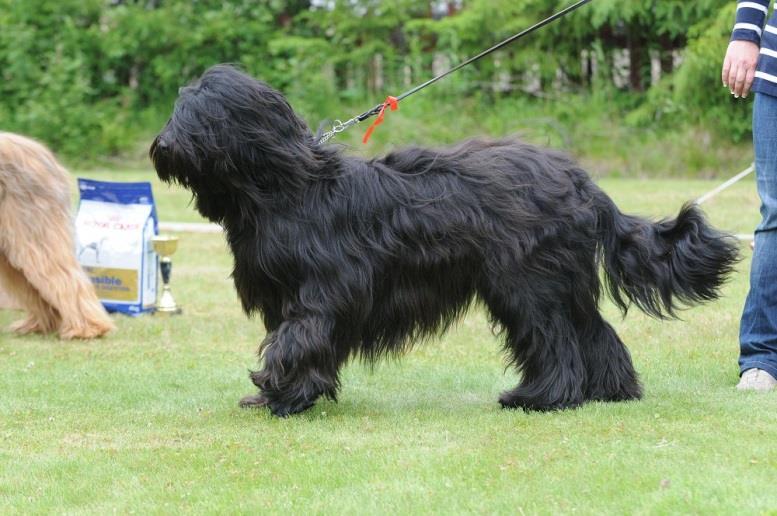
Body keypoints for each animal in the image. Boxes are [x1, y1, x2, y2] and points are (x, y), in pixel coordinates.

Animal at [149, 65, 736, 420]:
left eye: (196, 114)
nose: (161, 147)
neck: (286, 186)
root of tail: (580, 180)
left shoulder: (321, 293)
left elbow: (299, 339)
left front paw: (278, 392)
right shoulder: (289, 298)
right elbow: (302, 343)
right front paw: (295, 392)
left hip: (528, 284)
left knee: (556, 339)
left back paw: (541, 398)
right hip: (558, 282)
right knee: (593, 332)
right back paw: (610, 391)